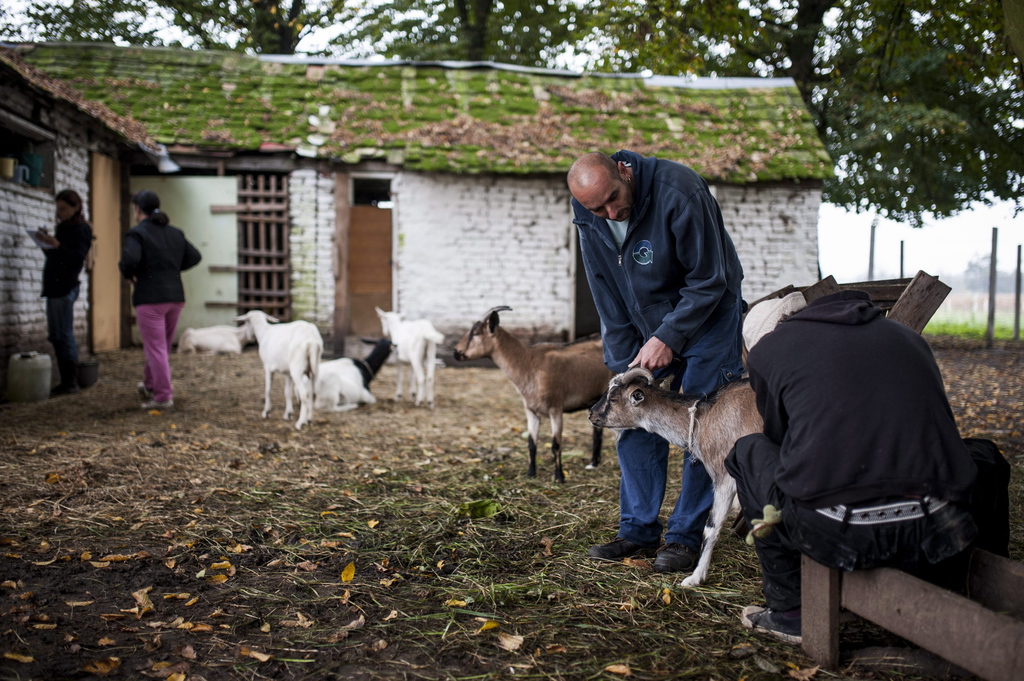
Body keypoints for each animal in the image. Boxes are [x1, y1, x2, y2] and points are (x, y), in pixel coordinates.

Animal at [452, 305, 610, 481]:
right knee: (597, 432)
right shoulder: (531, 411)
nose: (456, 352)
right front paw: (531, 473)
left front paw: (559, 477)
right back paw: (593, 463)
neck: (528, 363)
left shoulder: (556, 409)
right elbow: (532, 444)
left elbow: (556, 445)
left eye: (475, 333)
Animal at [589, 366, 765, 585]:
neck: (703, 417)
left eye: (613, 398)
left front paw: (695, 578)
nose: (591, 413)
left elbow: (711, 527)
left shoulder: (724, 477)